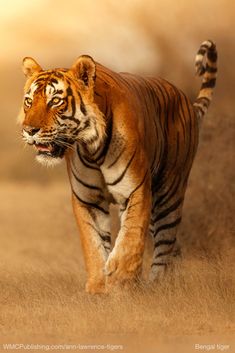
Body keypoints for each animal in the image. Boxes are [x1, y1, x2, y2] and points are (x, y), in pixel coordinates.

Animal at [18, 40, 218, 292]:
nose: (29, 130)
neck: (92, 148)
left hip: (169, 193)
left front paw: (120, 279)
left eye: (55, 101)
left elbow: (130, 237)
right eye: (29, 101)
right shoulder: (88, 199)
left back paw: (157, 285)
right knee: (174, 246)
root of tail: (186, 101)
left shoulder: (136, 190)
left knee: (165, 243)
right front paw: (98, 287)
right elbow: (93, 245)